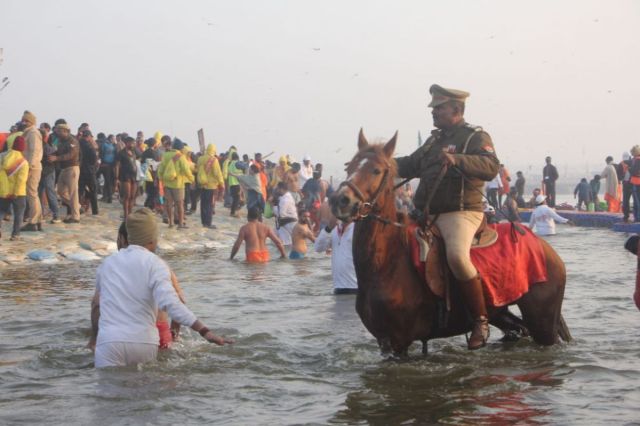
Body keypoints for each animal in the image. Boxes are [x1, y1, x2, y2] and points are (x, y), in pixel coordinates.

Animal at [330, 130, 568, 356]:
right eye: (349, 167)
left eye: (376, 170)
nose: (340, 200)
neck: (388, 262)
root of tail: (546, 249)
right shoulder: (384, 341)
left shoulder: (399, 341)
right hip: (501, 311)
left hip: (543, 318)